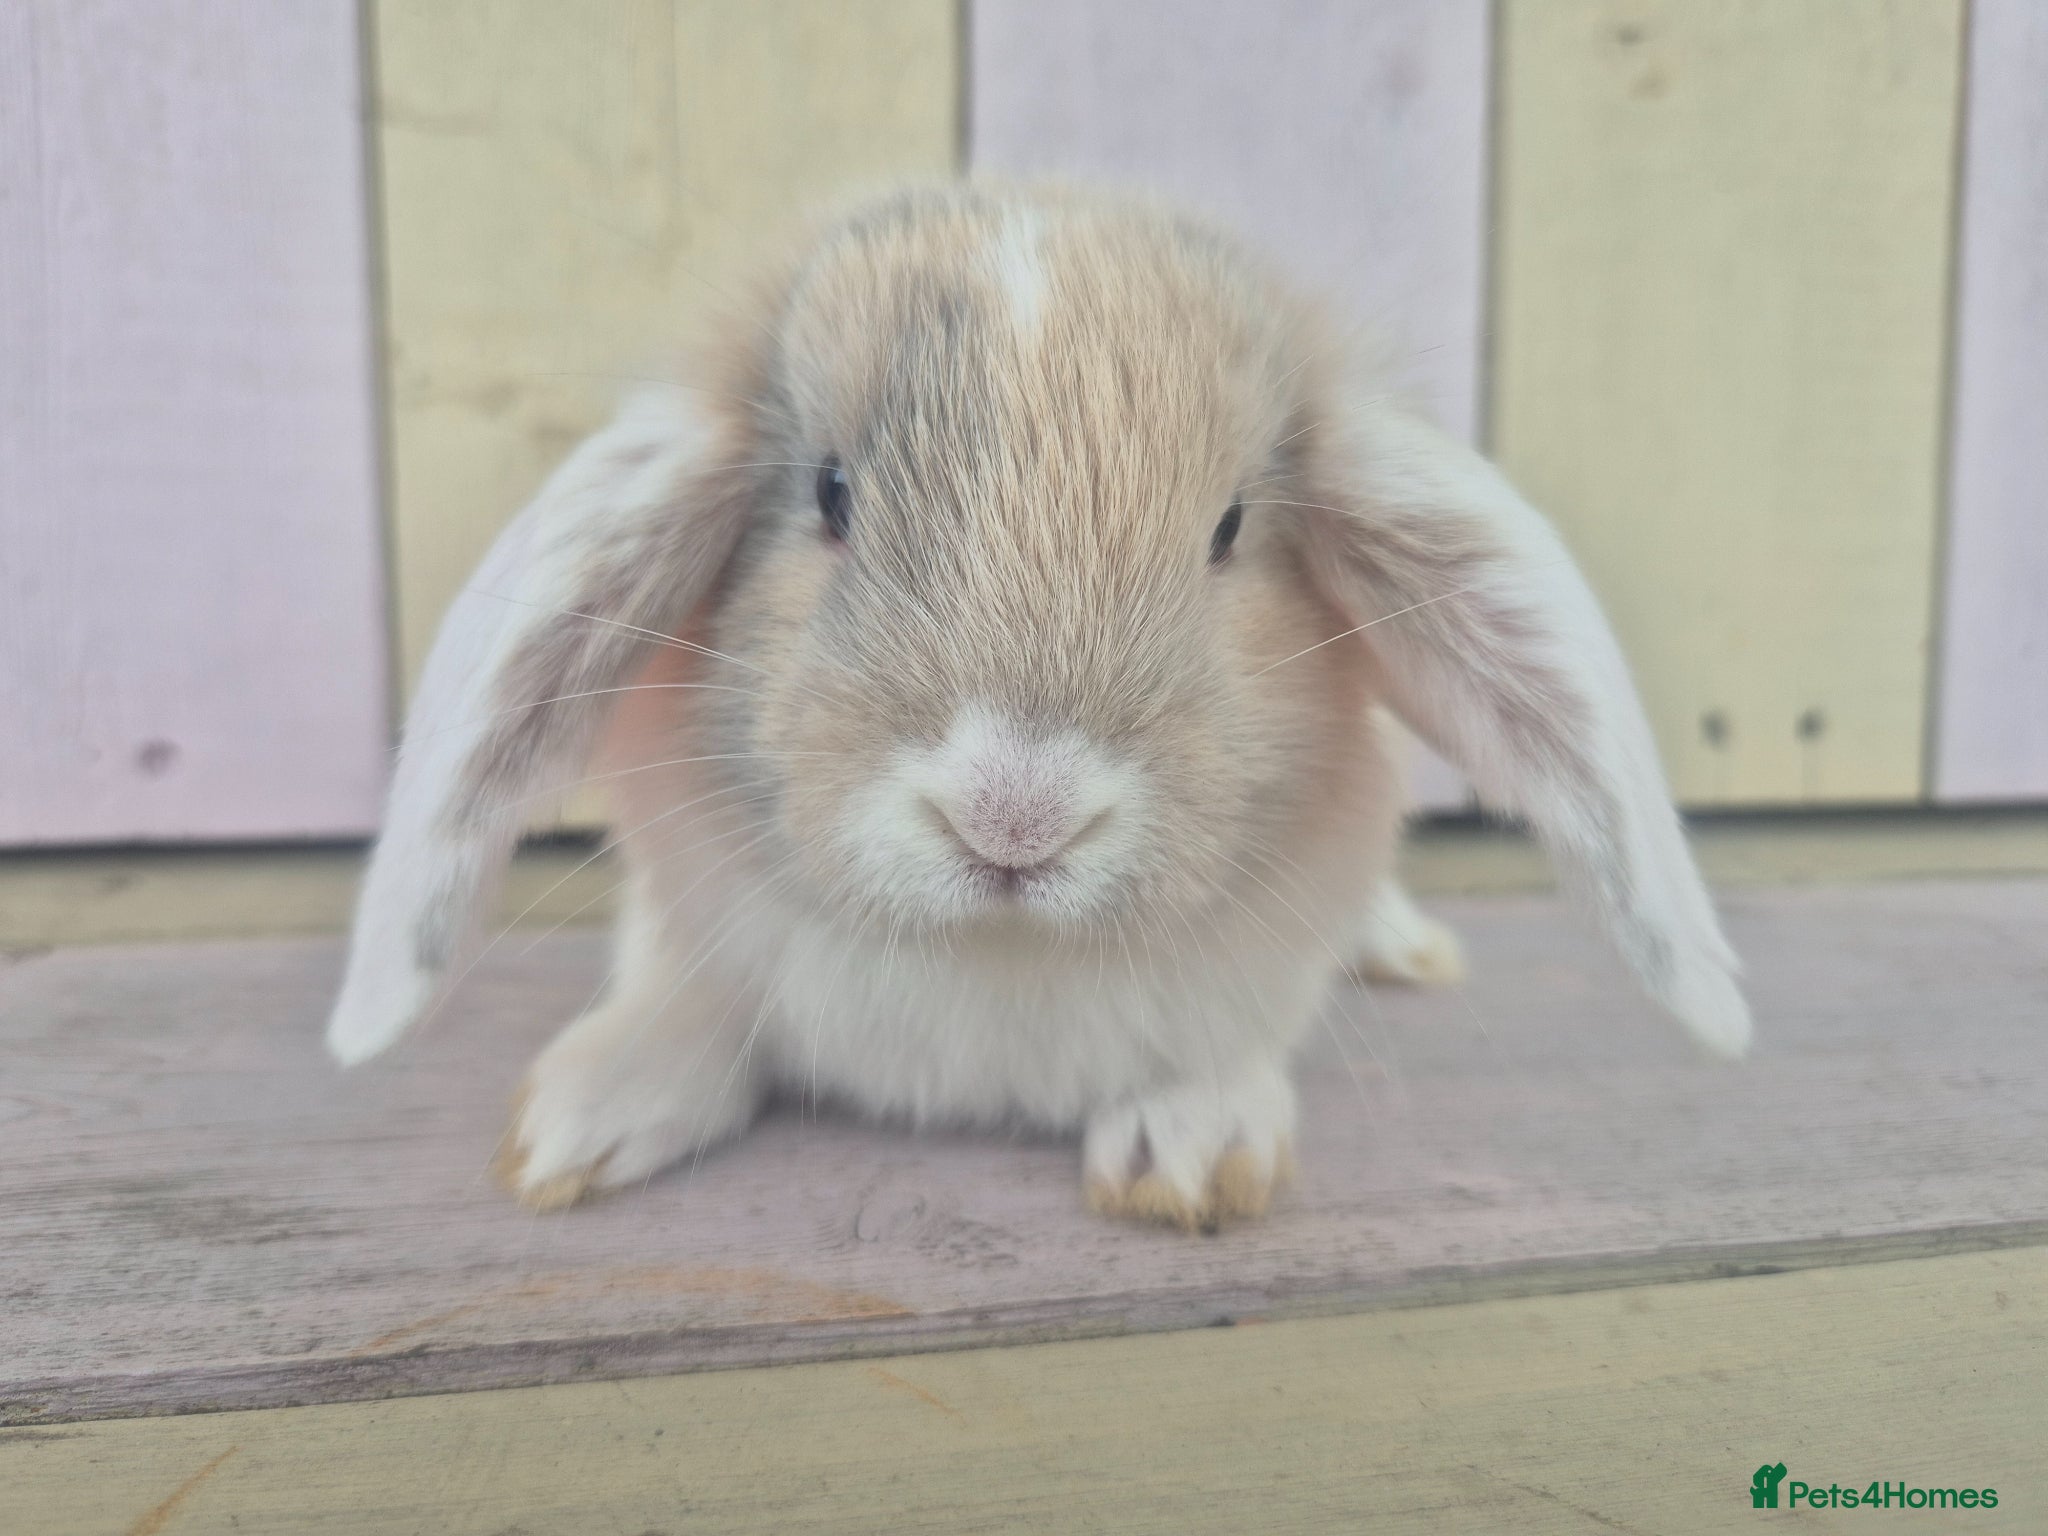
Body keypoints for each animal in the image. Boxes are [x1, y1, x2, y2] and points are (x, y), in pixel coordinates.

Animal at [327, 183, 1748, 1231]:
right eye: (830, 495)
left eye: (1229, 530)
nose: (1014, 817)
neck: (992, 960)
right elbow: (694, 1016)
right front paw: (580, 1117)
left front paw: (1192, 1152)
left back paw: (1404, 952)